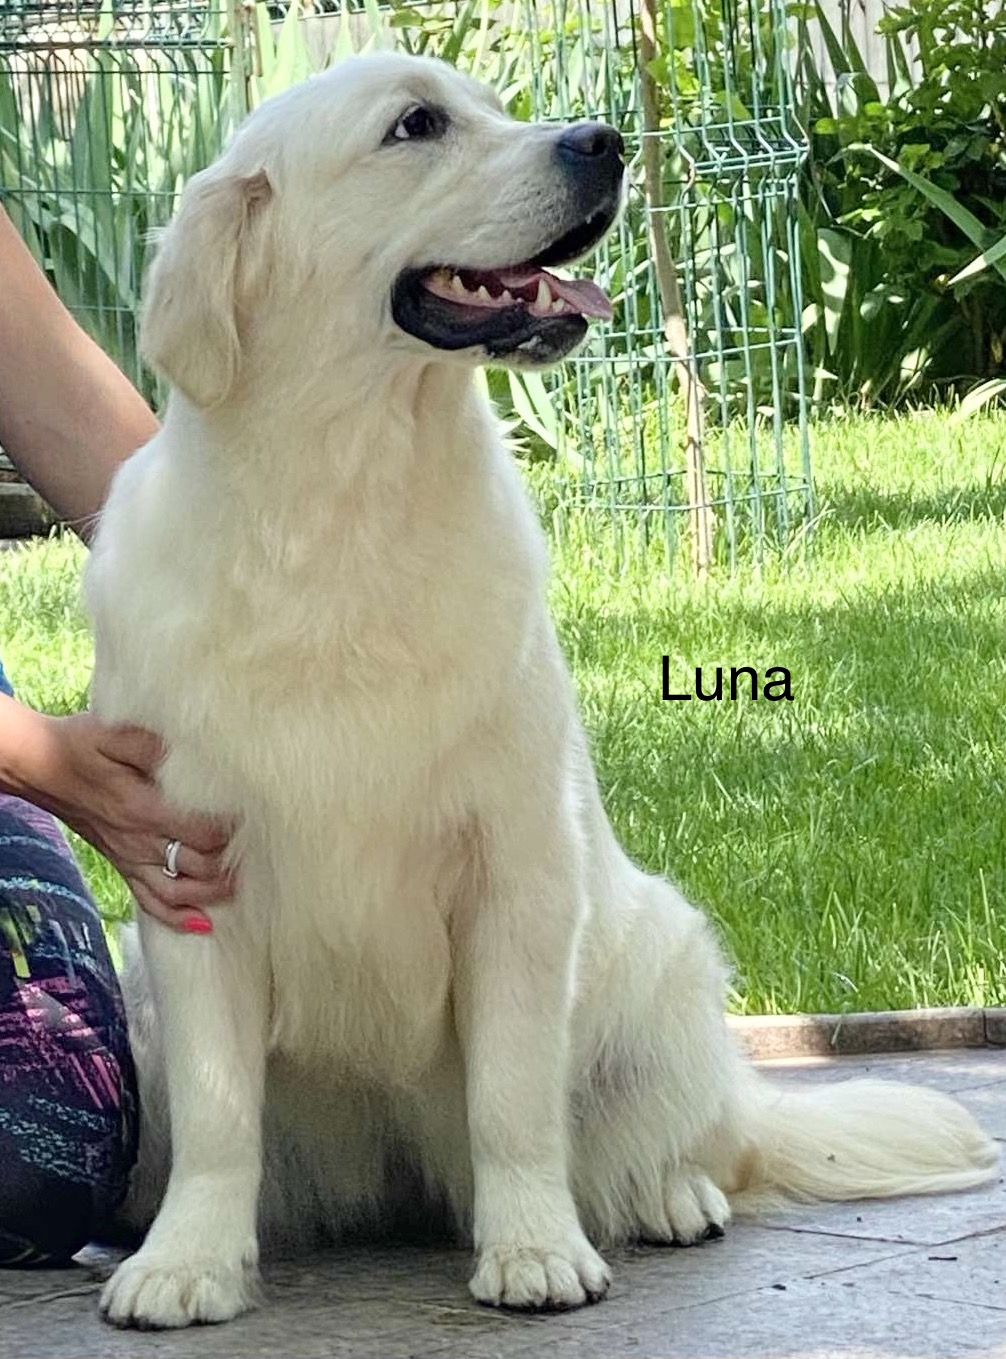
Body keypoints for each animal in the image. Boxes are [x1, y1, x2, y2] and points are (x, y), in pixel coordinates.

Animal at [86, 52, 997, 1329]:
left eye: (487, 101)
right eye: (415, 125)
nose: (603, 142)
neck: (342, 513)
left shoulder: (515, 871)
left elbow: (513, 1101)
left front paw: (534, 1251)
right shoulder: (189, 880)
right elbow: (223, 1118)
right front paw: (186, 1263)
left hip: (661, 960)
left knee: (697, 1144)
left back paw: (667, 1195)